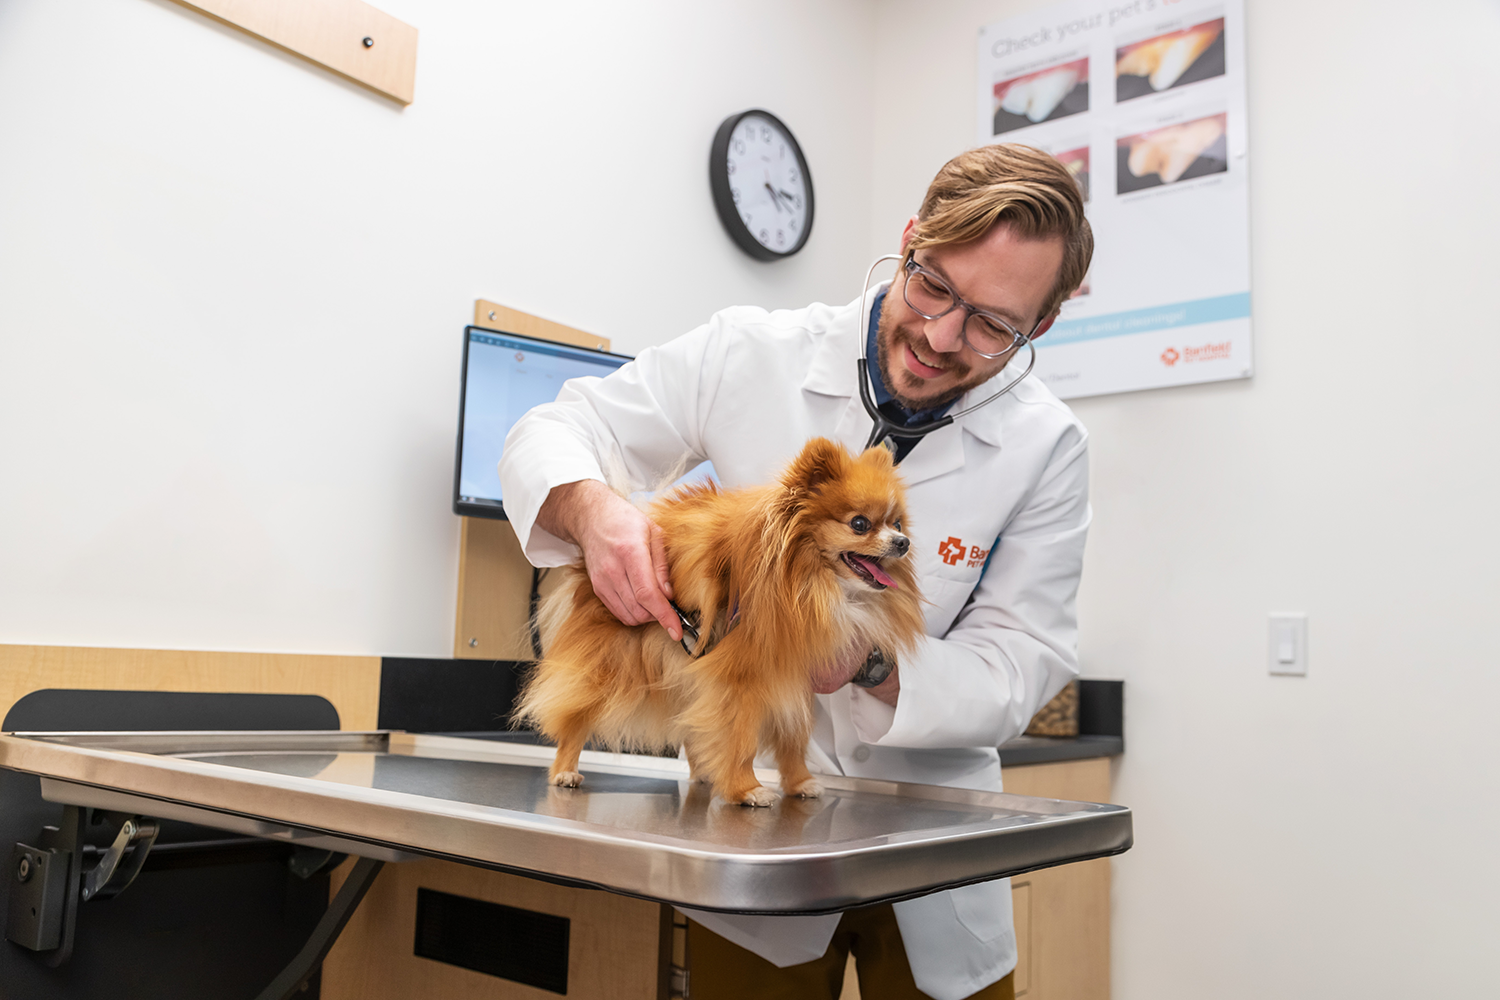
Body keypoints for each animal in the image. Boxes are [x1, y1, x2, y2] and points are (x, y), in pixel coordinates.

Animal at [516, 437, 924, 803]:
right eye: (860, 524)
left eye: (898, 524)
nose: (902, 542)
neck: (812, 582)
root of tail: (586, 567)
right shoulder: (740, 679)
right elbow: (741, 739)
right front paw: (746, 789)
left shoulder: (793, 678)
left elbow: (793, 739)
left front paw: (799, 782)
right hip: (611, 667)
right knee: (575, 720)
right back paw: (565, 770)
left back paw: (703, 774)